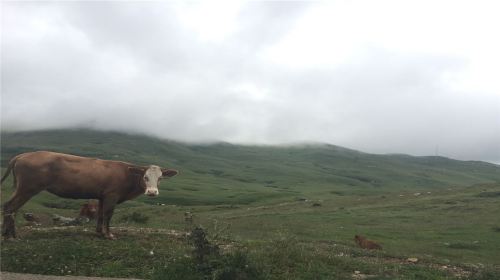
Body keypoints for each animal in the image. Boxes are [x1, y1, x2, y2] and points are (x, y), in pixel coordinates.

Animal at [0, 152, 178, 240]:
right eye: (145, 177)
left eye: (160, 178)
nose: (152, 192)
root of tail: (22, 155)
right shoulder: (112, 195)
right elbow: (107, 215)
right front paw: (108, 235)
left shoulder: (102, 196)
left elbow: (100, 214)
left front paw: (99, 232)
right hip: (27, 188)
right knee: (10, 207)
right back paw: (10, 236)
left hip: (22, 188)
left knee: (9, 206)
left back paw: (8, 233)